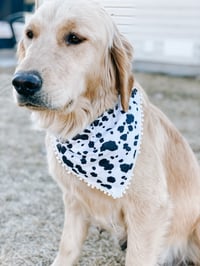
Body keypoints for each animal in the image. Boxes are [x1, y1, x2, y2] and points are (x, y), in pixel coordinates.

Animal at [12, 0, 200, 264]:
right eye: (30, 34)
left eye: (74, 37)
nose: (22, 82)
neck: (85, 126)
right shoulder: (74, 200)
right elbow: (67, 247)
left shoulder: (149, 211)